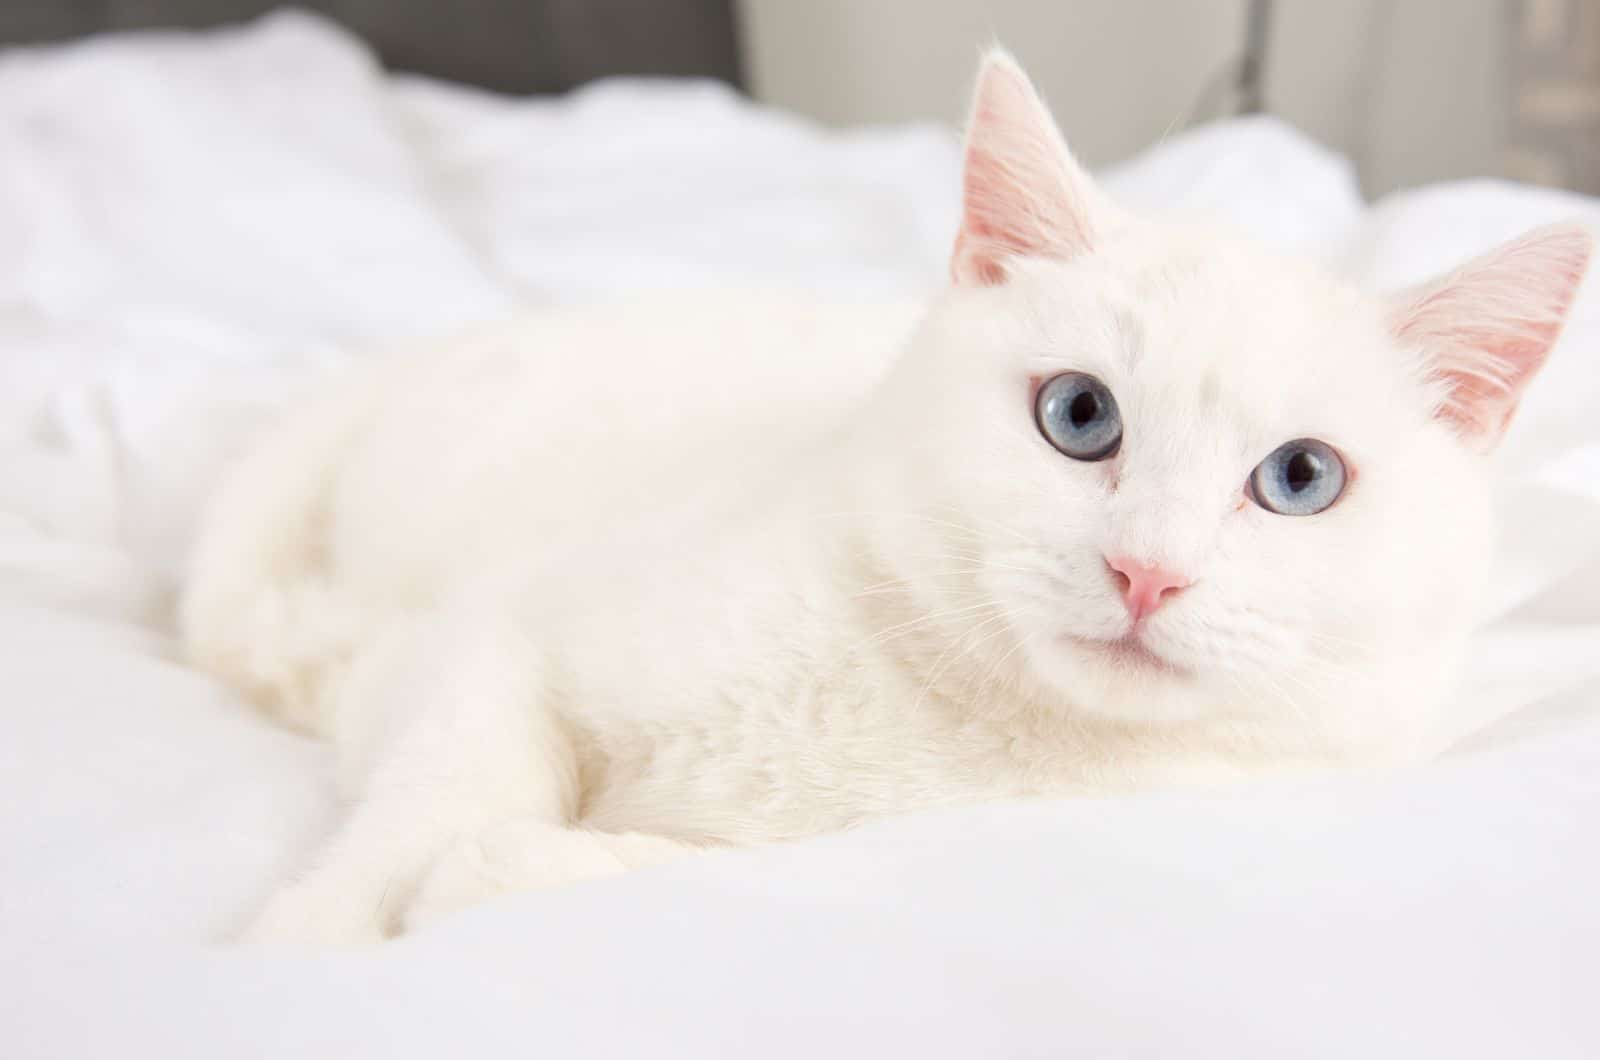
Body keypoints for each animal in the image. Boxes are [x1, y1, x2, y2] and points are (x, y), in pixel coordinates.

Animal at [184, 49, 1587, 947]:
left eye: (1299, 480)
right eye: (1080, 416)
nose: (1148, 570)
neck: (953, 718)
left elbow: (642, 871)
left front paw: (503, 875)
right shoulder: (500, 638)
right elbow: (437, 787)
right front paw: (311, 943)